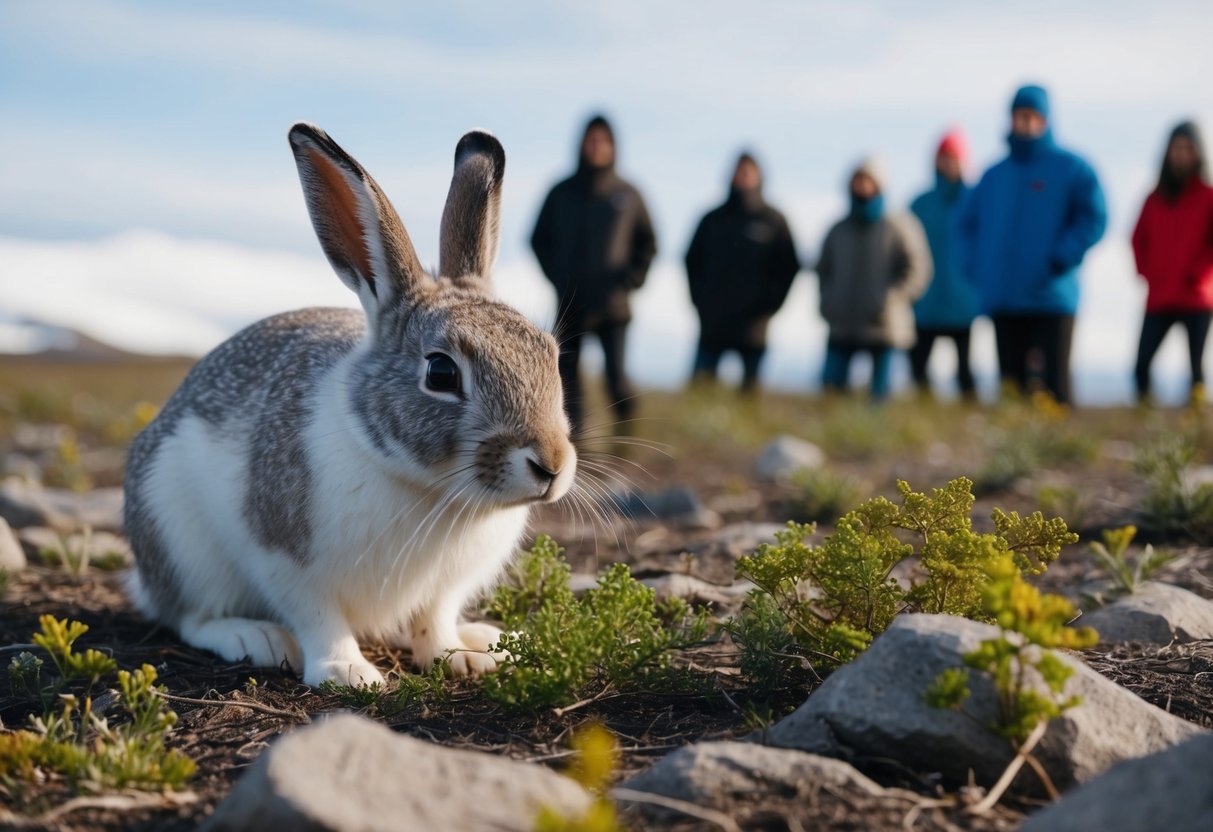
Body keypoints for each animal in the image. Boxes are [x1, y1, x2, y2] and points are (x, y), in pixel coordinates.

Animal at [123, 123, 577, 687]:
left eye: (549, 354)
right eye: (441, 373)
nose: (552, 466)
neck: (430, 489)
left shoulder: (445, 587)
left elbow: (435, 619)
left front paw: (458, 657)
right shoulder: (283, 556)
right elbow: (318, 616)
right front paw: (348, 673)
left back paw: (485, 638)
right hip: (178, 540)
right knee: (191, 616)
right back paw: (254, 637)